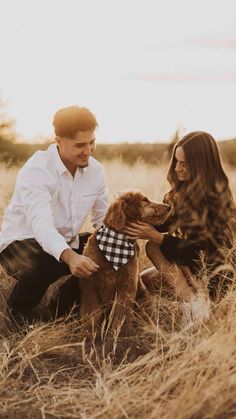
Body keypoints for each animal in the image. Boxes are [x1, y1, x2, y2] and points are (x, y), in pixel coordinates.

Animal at [79, 193, 170, 334]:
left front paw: (120, 332)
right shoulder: (89, 285)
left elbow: (122, 312)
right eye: (145, 200)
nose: (169, 206)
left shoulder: (127, 285)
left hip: (144, 299)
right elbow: (91, 311)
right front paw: (89, 331)